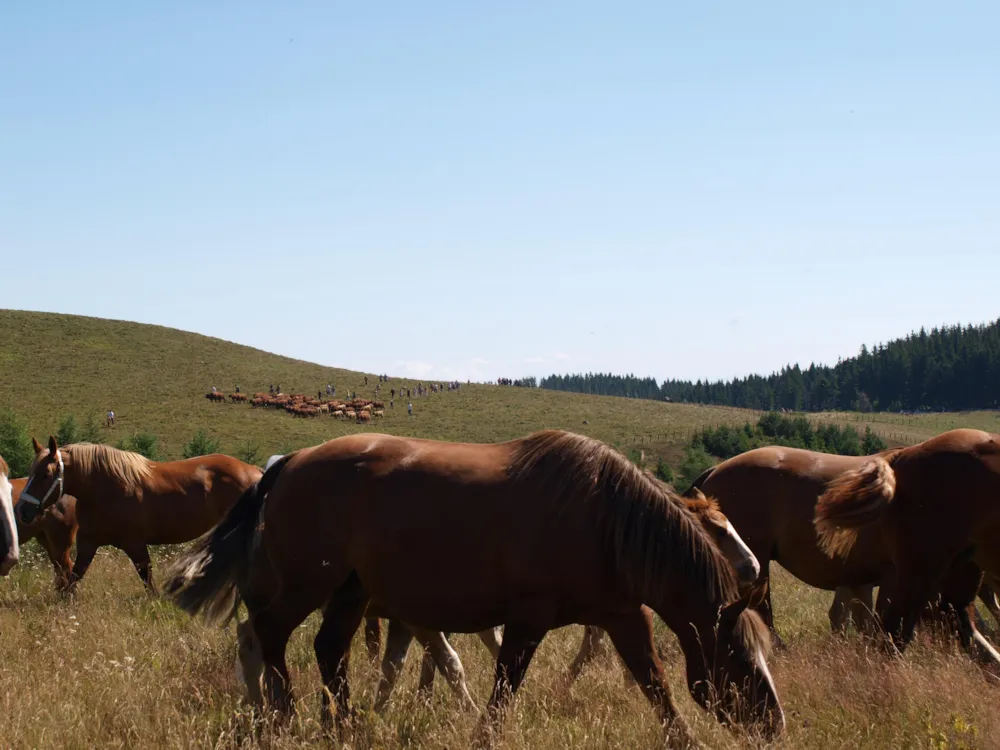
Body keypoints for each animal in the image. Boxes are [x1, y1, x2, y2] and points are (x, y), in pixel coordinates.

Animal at [20, 438, 262, 596]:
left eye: (45, 474)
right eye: (31, 472)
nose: (23, 511)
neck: (104, 488)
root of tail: (254, 470)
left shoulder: (134, 543)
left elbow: (146, 576)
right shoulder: (88, 542)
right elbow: (74, 577)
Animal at [168, 432, 784, 748]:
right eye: (740, 658)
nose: (774, 726)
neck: (609, 519)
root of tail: (289, 463)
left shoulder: (623, 616)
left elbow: (655, 684)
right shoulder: (528, 621)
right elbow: (503, 689)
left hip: (349, 592)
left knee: (328, 651)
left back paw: (343, 724)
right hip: (307, 586)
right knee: (268, 636)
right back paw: (286, 717)